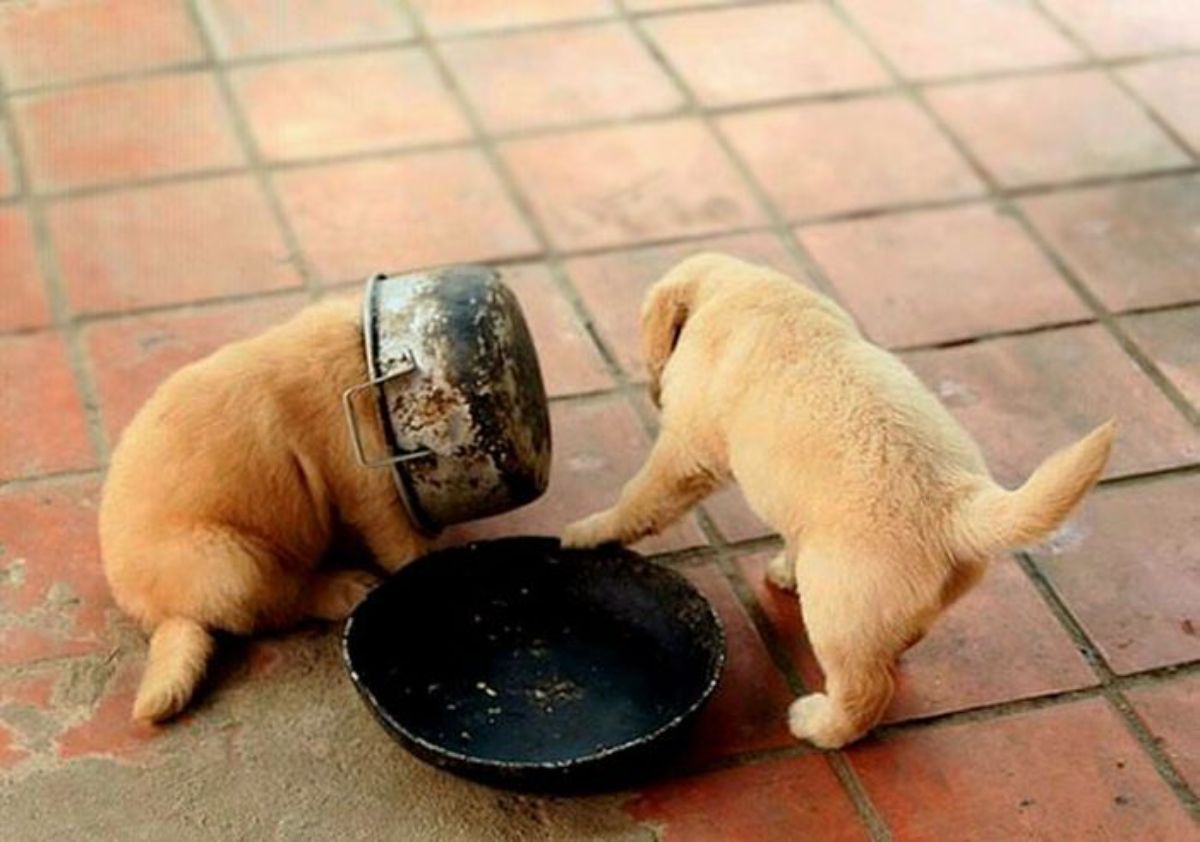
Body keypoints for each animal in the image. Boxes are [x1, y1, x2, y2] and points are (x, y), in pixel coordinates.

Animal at [561, 255, 1113, 753]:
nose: (653, 388)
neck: (744, 292)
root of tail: (957, 507)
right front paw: (785, 568)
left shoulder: (685, 453)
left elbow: (641, 497)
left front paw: (589, 531)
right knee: (899, 642)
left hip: (839, 611)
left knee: (865, 690)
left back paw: (820, 726)